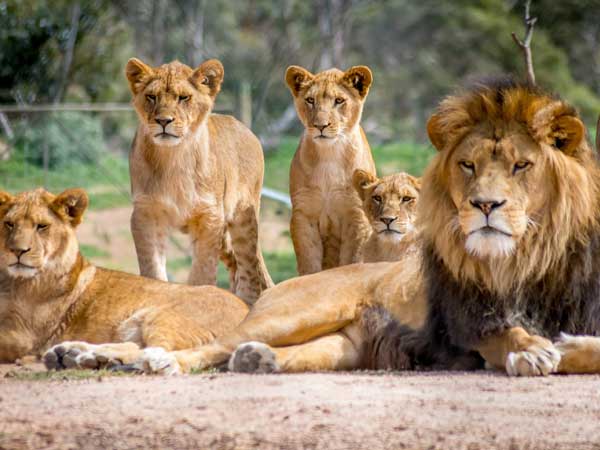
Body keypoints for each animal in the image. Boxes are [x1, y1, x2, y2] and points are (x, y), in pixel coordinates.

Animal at [0, 187, 247, 370]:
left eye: (42, 226)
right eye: (9, 224)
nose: (18, 251)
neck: (11, 281)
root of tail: (247, 310)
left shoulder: (23, 335)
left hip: (162, 315)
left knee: (158, 351)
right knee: (137, 346)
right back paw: (74, 354)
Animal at [129, 56, 274, 302]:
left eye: (183, 97)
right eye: (151, 97)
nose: (163, 121)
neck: (173, 158)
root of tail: (246, 128)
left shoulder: (209, 217)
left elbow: (202, 272)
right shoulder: (145, 214)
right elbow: (152, 269)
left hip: (243, 218)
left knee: (249, 269)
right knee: (235, 263)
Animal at [286, 64, 376, 274]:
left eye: (339, 101)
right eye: (310, 100)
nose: (320, 126)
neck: (329, 154)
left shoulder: (356, 215)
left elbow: (352, 260)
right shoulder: (304, 214)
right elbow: (309, 263)